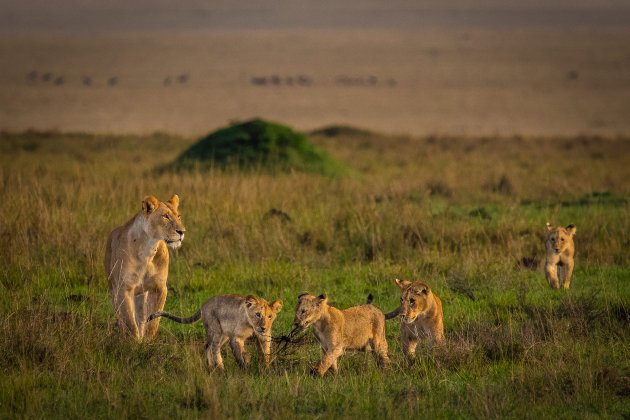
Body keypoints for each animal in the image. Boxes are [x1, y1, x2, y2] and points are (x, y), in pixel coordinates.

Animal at [103, 195, 186, 340]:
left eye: (179, 216)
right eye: (165, 216)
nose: (182, 232)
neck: (148, 249)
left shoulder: (159, 288)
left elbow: (153, 321)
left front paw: (147, 342)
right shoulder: (123, 288)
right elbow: (129, 323)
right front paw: (133, 343)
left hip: (142, 296)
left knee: (141, 318)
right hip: (114, 290)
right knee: (121, 317)